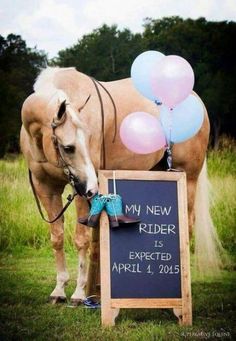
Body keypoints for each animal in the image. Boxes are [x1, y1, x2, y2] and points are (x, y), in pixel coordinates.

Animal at [20, 66, 221, 302]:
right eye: (69, 147)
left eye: (87, 139)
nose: (91, 187)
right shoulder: (47, 188)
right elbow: (57, 238)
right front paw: (59, 289)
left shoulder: (80, 193)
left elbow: (81, 239)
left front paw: (79, 293)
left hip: (187, 177)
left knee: (187, 226)